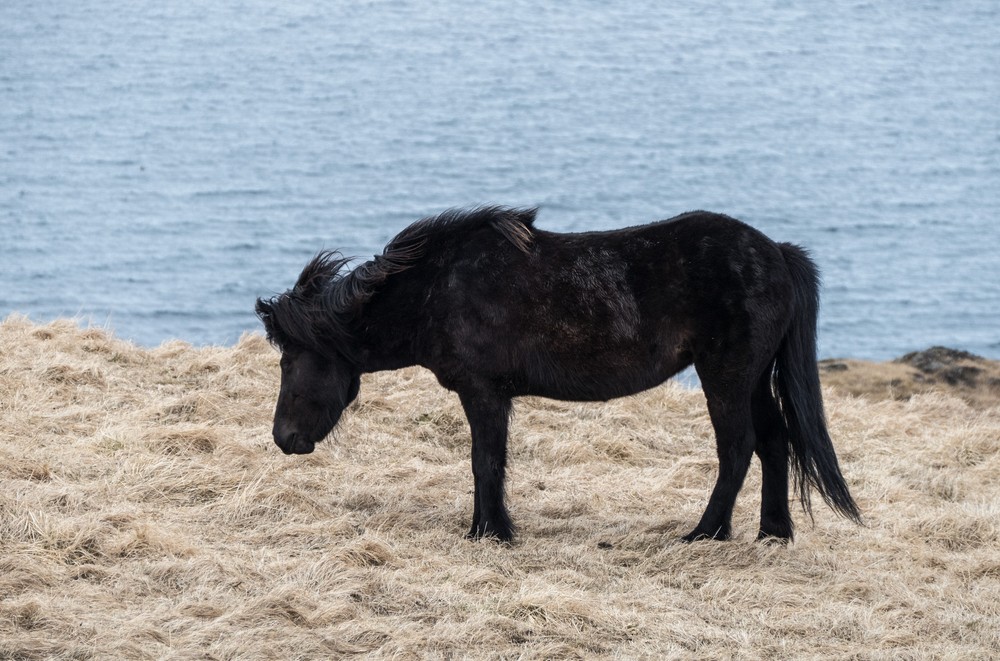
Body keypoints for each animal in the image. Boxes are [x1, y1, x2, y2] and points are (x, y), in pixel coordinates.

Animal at [256, 206, 860, 540]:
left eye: (289, 360)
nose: (284, 439)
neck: (437, 291)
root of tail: (776, 252)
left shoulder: (484, 394)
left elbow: (485, 462)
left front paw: (490, 533)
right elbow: (487, 463)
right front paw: (487, 529)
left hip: (726, 376)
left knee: (738, 448)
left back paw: (705, 534)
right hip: (752, 377)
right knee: (775, 440)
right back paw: (772, 533)